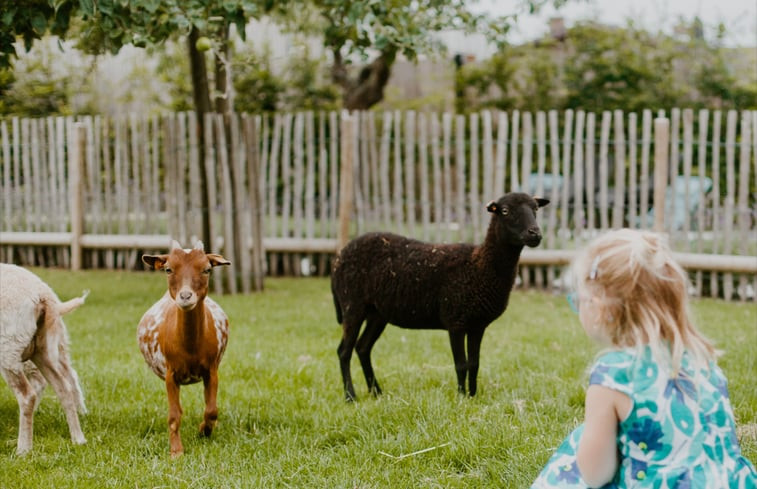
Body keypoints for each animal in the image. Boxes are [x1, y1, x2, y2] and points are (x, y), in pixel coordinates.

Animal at [0, 264, 88, 454]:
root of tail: (42, 294)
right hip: (43, 350)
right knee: (64, 387)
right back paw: (78, 439)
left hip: (9, 350)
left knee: (28, 395)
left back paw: (23, 449)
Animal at [136, 238, 230, 456]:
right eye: (168, 269)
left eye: (206, 269)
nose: (185, 296)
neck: (190, 348)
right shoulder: (171, 374)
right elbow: (174, 415)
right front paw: (176, 451)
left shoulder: (211, 370)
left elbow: (211, 410)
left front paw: (204, 431)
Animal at [330, 192, 548, 400]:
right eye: (504, 210)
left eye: (536, 209)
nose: (535, 234)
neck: (479, 267)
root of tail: (339, 257)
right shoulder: (455, 321)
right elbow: (461, 364)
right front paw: (461, 398)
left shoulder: (477, 325)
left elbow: (474, 364)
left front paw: (473, 396)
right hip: (352, 305)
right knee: (344, 351)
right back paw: (350, 396)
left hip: (377, 313)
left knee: (362, 347)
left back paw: (376, 392)